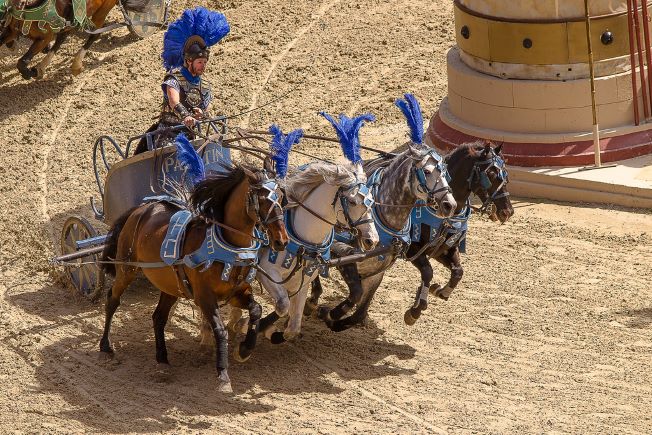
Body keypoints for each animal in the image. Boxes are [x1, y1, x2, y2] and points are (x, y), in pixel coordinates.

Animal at [0, 0, 149, 80]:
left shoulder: (45, 37)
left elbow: (22, 62)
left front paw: (30, 72)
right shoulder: (11, 31)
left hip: (102, 11)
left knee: (94, 36)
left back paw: (76, 64)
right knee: (62, 38)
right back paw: (42, 66)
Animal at [100, 164, 288, 396]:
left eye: (281, 198)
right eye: (261, 199)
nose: (282, 240)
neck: (228, 248)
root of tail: (141, 208)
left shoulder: (237, 292)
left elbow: (256, 310)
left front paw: (244, 350)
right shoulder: (204, 296)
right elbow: (220, 330)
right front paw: (223, 375)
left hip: (170, 285)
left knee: (158, 317)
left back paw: (162, 360)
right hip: (127, 268)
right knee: (113, 300)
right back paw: (106, 347)